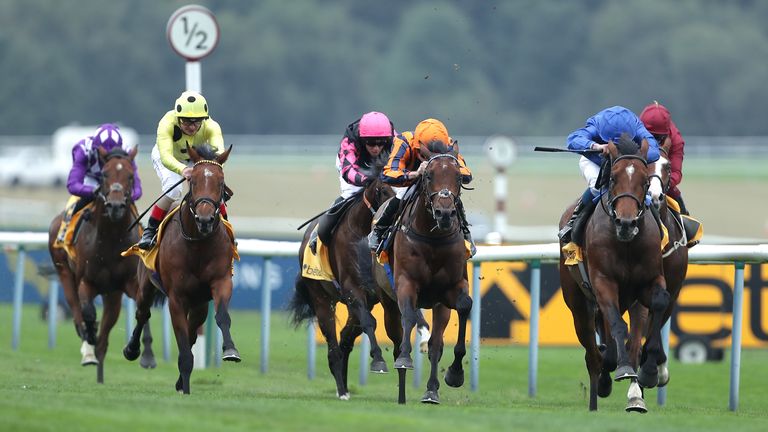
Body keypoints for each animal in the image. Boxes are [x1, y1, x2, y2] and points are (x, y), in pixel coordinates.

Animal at [47, 147, 156, 384]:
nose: (115, 206)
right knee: (77, 311)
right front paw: (89, 337)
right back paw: (88, 348)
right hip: (64, 272)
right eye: (104, 174)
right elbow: (88, 313)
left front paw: (145, 355)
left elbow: (143, 308)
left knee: (104, 339)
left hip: (112, 295)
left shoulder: (128, 283)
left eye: (130, 176)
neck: (110, 239)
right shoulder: (86, 282)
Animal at [123, 143, 238, 394]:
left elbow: (222, 316)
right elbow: (183, 344)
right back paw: (132, 350)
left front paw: (230, 350)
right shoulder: (176, 297)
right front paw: (185, 387)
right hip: (146, 285)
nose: (205, 219)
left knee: (193, 332)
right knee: (142, 314)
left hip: (199, 303)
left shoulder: (220, 282)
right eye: (192, 181)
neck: (198, 244)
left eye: (221, 182)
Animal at [290, 157, 396, 400]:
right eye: (383, 190)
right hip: (321, 298)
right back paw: (341, 387)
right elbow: (370, 322)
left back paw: (345, 385)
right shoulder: (351, 287)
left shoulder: (375, 292)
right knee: (333, 345)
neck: (363, 233)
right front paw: (378, 361)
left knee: (345, 338)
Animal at [376, 142, 472, 404]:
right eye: (428, 175)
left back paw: (431, 390)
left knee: (435, 344)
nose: (445, 214)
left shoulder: (450, 289)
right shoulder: (405, 283)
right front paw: (405, 359)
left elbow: (465, 306)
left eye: (458, 176)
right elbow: (409, 316)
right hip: (385, 297)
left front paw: (455, 373)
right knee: (396, 332)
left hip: (439, 306)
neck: (433, 239)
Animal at [560, 136, 672, 412]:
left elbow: (659, 303)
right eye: (613, 179)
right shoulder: (603, 282)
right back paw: (599, 385)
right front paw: (621, 369)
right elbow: (618, 327)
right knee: (592, 352)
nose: (627, 223)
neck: (626, 244)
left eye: (644, 180)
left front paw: (650, 371)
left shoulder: (650, 280)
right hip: (578, 304)